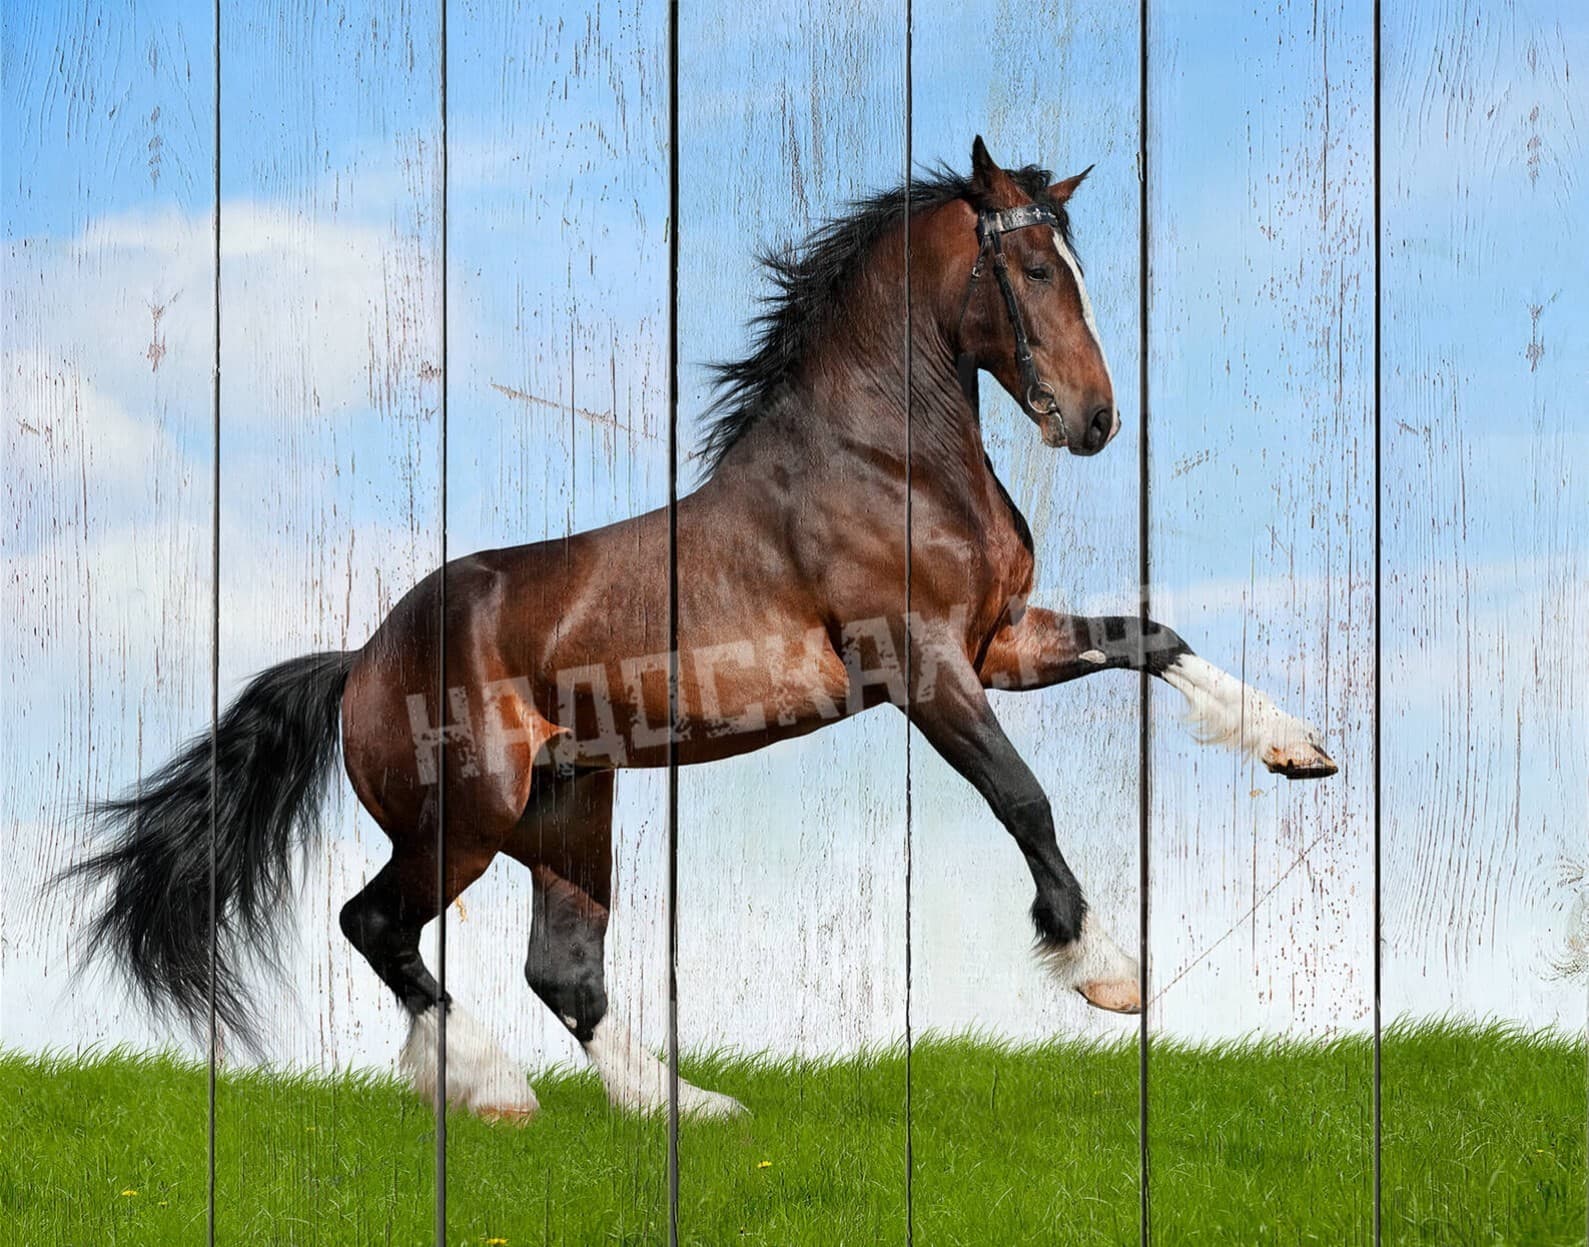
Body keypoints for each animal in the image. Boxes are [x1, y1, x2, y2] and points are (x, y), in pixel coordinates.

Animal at [66, 138, 1337, 1123]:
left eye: (1074, 264)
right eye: (1028, 266)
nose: (1093, 419)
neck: (886, 460)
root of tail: (358, 663)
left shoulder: (1000, 643)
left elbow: (1151, 637)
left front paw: (1297, 747)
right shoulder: (922, 664)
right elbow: (1023, 798)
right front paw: (1105, 971)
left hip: (567, 814)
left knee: (561, 970)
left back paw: (686, 1104)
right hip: (465, 817)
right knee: (375, 923)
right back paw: (488, 1086)